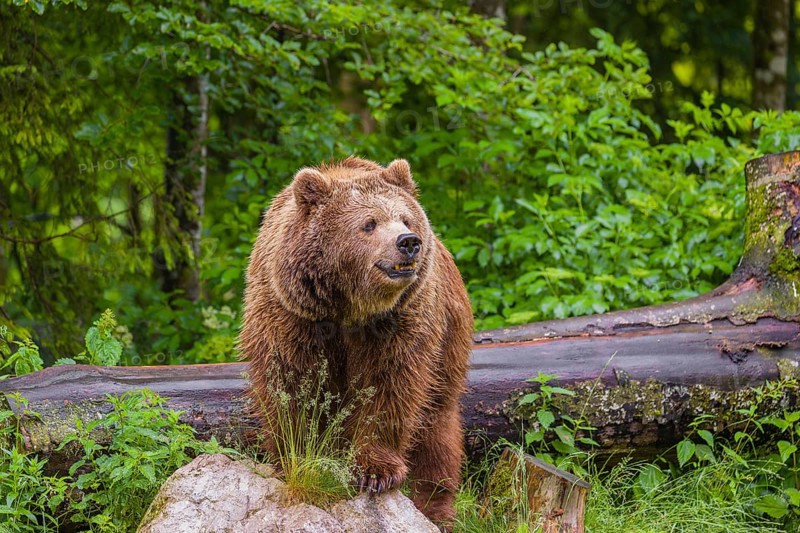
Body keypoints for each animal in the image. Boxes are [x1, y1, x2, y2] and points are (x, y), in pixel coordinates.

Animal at [239, 156, 473, 527]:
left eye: (405, 218)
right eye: (369, 224)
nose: (409, 242)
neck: (350, 307)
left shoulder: (398, 322)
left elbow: (388, 387)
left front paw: (376, 472)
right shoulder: (292, 314)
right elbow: (292, 384)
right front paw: (297, 455)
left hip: (448, 335)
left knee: (437, 422)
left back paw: (436, 508)